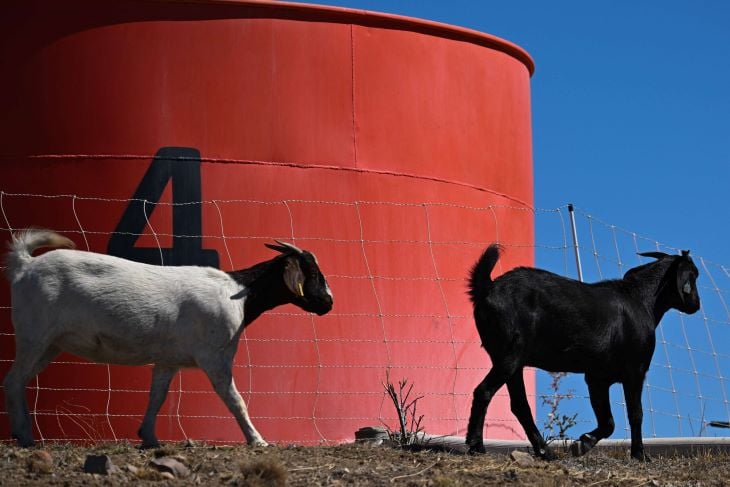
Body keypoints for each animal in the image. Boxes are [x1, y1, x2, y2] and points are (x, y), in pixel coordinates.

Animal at [2, 231, 332, 448]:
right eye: (312, 272)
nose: (328, 303)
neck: (240, 293)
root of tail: (25, 264)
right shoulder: (216, 356)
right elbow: (235, 400)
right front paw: (258, 440)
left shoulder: (168, 360)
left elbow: (157, 397)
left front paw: (149, 437)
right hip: (34, 334)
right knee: (13, 380)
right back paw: (26, 437)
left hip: (50, 344)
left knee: (19, 380)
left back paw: (22, 433)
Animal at [466, 244, 700, 462]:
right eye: (694, 275)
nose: (696, 305)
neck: (640, 300)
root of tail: (488, 288)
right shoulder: (635, 371)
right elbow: (635, 413)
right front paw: (639, 454)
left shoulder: (597, 377)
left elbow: (608, 421)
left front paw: (583, 443)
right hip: (509, 356)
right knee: (484, 391)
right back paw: (476, 446)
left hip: (512, 361)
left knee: (520, 405)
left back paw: (545, 452)